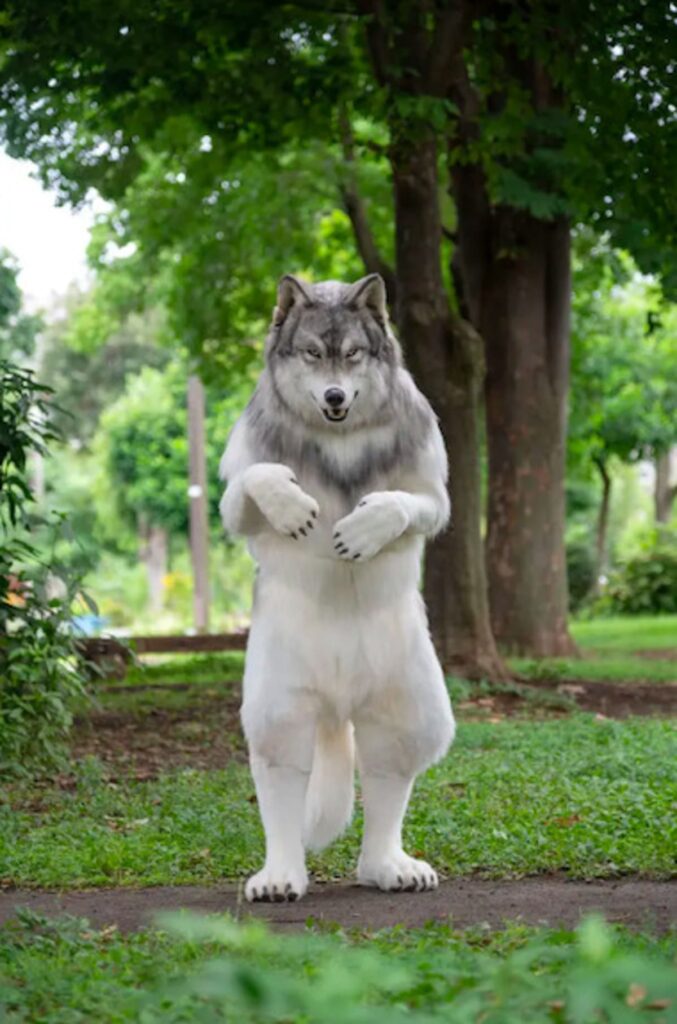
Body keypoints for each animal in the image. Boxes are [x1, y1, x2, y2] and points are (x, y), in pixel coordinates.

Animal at [219, 273, 455, 902]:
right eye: (310, 354)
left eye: (352, 355)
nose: (333, 398)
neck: (341, 437)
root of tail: (340, 697)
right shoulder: (241, 484)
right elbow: (253, 482)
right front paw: (288, 502)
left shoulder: (428, 486)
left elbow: (411, 503)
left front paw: (368, 525)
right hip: (282, 690)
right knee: (282, 763)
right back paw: (282, 875)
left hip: (405, 688)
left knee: (389, 761)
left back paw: (386, 866)